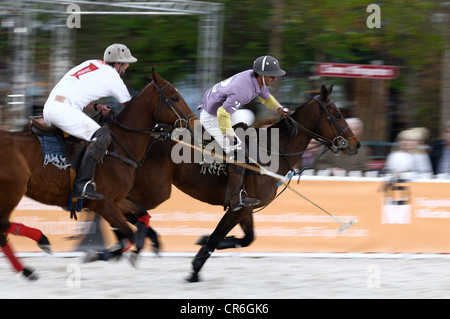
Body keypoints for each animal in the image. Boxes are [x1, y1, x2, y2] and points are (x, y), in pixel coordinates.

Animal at [0, 68, 192, 280]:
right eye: (174, 97)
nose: (193, 121)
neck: (119, 147)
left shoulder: (116, 200)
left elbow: (142, 215)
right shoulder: (103, 204)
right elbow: (129, 233)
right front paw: (102, 254)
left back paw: (32, 259)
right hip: (12, 193)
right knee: (2, 227)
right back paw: (35, 254)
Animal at [125, 84, 358, 282]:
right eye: (338, 114)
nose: (356, 144)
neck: (273, 151)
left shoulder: (247, 207)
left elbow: (247, 239)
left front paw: (202, 241)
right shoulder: (237, 207)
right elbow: (217, 236)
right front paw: (195, 269)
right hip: (154, 189)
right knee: (124, 204)